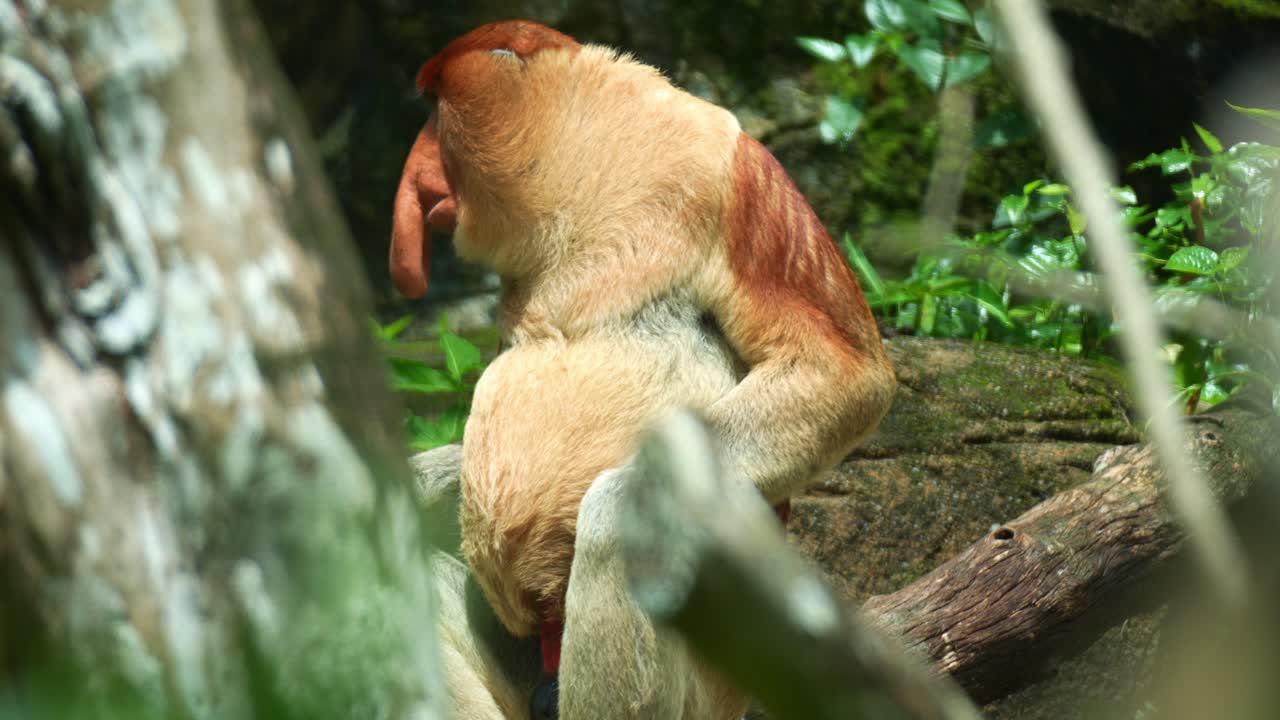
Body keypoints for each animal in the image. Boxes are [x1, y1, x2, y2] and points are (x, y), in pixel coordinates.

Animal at [391, 20, 896, 719]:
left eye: (435, 111)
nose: (415, 171)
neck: (583, 161)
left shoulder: (730, 172)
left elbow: (840, 369)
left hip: (709, 684)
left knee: (618, 535)